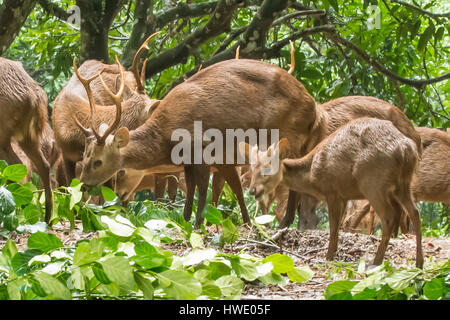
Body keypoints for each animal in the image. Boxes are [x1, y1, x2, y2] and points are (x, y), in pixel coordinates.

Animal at [243, 117, 422, 268]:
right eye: (252, 168)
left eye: (268, 168)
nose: (253, 190)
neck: (312, 175)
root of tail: (406, 148)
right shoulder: (344, 196)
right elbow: (338, 226)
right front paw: (333, 253)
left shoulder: (332, 191)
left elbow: (333, 227)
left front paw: (328, 257)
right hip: (403, 184)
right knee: (414, 212)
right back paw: (419, 262)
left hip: (372, 183)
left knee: (389, 216)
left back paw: (376, 261)